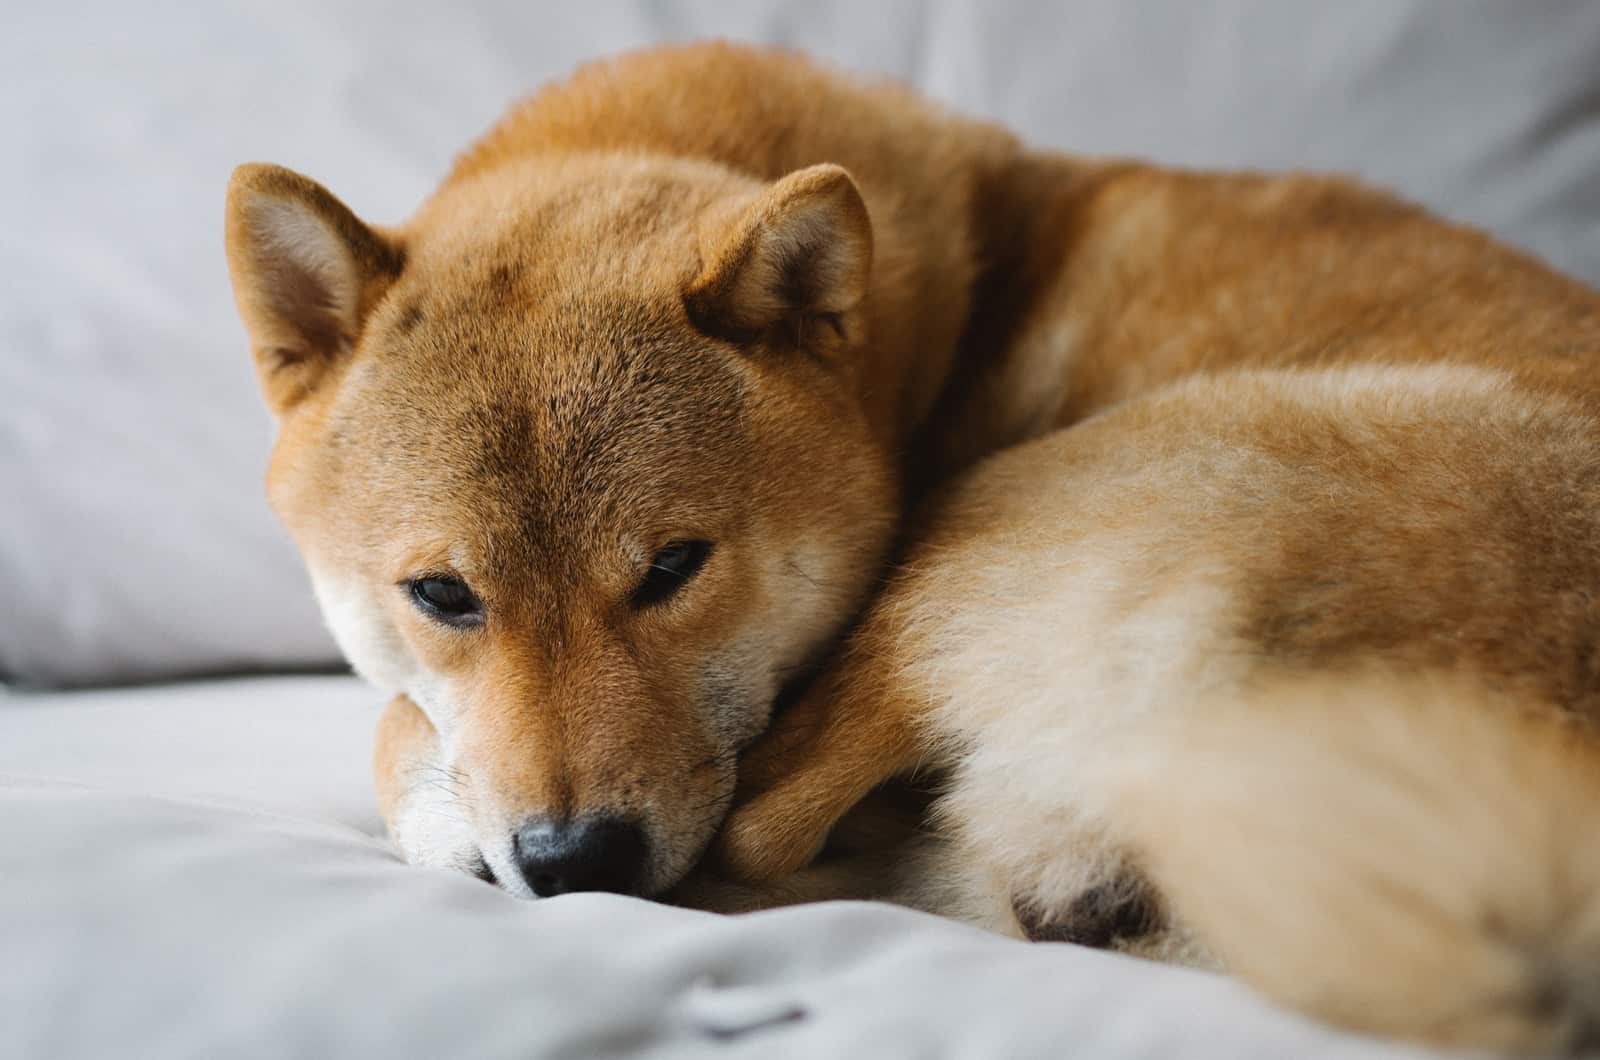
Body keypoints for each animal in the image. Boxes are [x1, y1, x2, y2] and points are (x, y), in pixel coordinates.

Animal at [228, 39, 1600, 1056]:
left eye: (672, 567)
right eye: (441, 593)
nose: (577, 863)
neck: (932, 331)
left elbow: (401, 725)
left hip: (998, 523)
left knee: (762, 830)